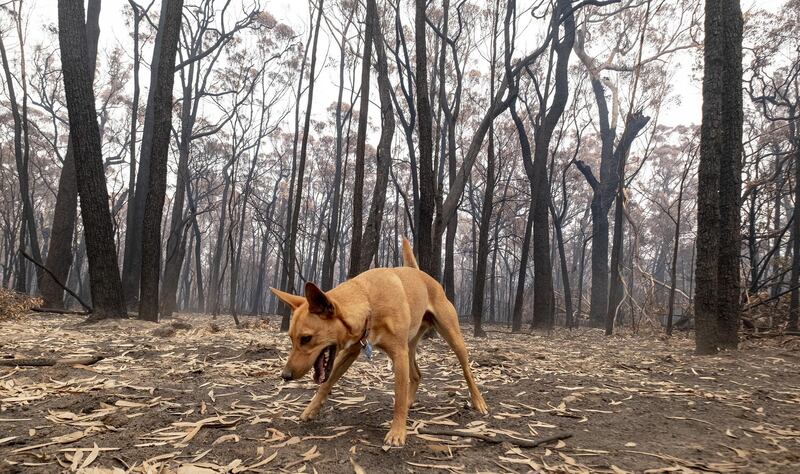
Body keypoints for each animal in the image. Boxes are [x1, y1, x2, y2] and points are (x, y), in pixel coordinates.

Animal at [272, 239, 488, 446]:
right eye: (291, 338)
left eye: (306, 338)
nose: (285, 375)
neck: (368, 301)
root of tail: (421, 274)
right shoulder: (351, 351)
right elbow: (326, 384)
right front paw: (311, 409)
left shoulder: (398, 355)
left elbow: (398, 396)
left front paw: (397, 432)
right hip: (409, 347)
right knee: (417, 375)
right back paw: (411, 401)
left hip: (451, 336)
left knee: (467, 371)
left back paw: (478, 402)